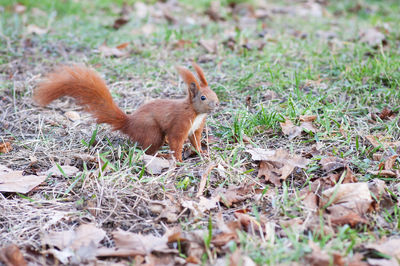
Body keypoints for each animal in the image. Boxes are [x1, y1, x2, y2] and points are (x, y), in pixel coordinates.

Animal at [34, 62, 219, 162]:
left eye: (214, 92)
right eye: (203, 97)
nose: (217, 103)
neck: (195, 112)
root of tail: (129, 123)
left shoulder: (196, 128)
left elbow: (195, 140)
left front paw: (201, 152)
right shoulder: (180, 123)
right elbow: (176, 141)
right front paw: (179, 159)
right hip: (152, 132)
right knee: (148, 150)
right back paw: (161, 156)